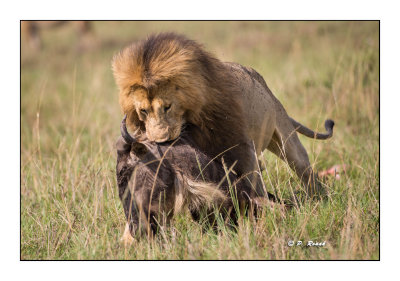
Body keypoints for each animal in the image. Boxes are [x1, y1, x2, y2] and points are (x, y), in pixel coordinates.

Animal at [111, 32, 332, 198]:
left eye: (167, 107)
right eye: (143, 111)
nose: (162, 141)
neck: (193, 122)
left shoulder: (243, 148)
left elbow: (255, 183)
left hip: (286, 137)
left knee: (303, 167)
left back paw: (320, 199)